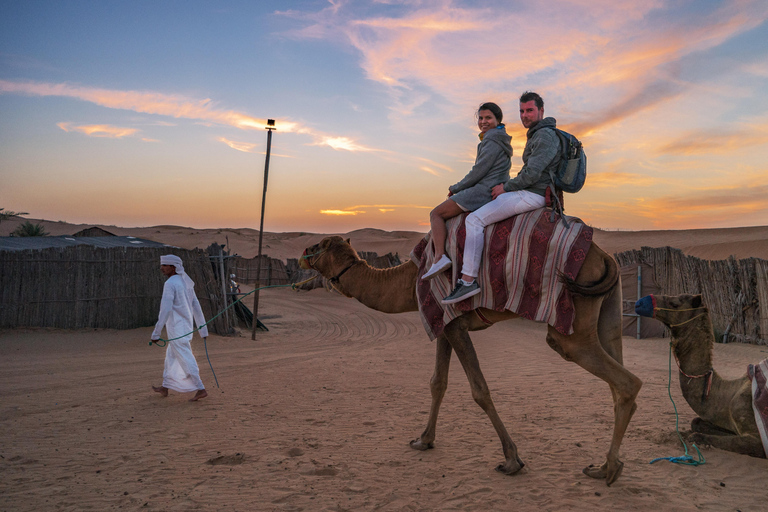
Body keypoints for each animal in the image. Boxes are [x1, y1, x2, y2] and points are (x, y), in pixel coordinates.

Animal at [300, 234, 640, 486]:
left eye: (318, 245)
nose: (303, 254)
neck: (408, 279)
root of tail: (606, 257)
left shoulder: (453, 324)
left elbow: (480, 391)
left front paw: (511, 460)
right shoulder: (444, 322)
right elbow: (438, 383)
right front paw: (423, 440)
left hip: (572, 325)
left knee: (625, 380)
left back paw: (609, 468)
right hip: (608, 310)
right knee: (618, 374)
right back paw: (606, 466)